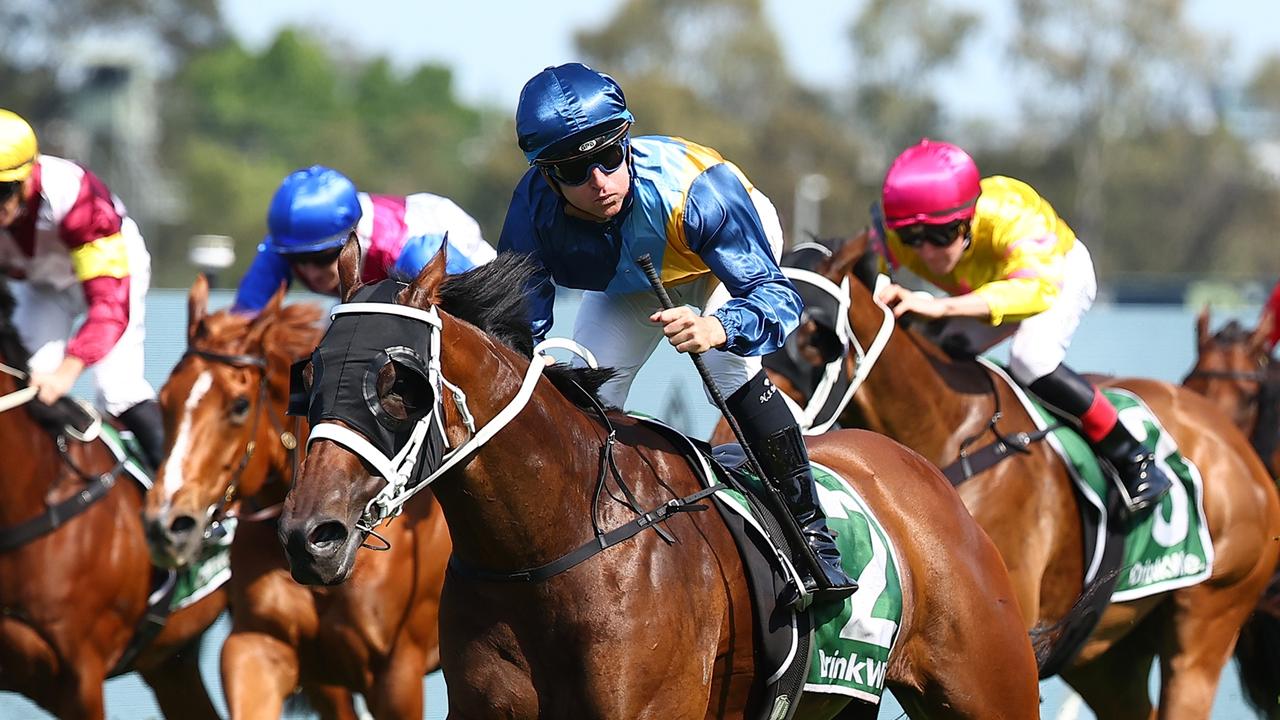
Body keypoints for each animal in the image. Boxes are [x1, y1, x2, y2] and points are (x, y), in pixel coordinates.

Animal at [277, 242, 1039, 717]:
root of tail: (923, 474)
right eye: (309, 375)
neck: (547, 549)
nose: (310, 536)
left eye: (398, 384)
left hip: (989, 688)